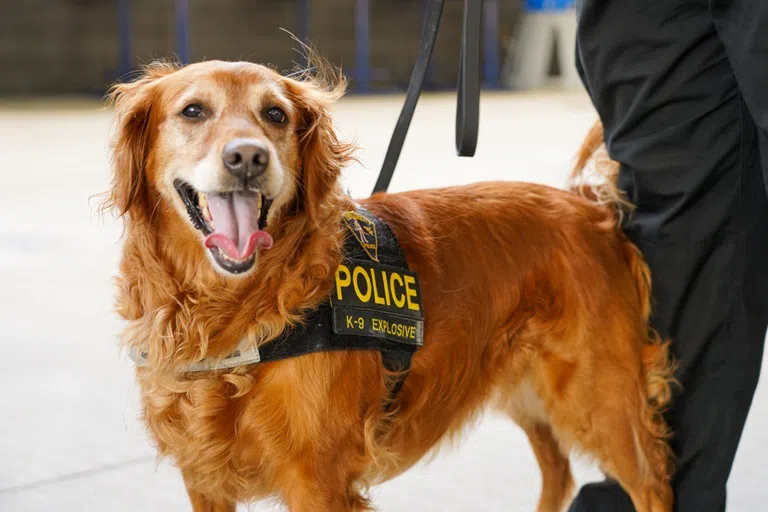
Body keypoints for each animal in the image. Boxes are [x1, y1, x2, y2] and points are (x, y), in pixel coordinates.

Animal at [106, 61, 672, 512]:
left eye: (276, 115)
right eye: (193, 111)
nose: (248, 158)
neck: (237, 313)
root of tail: (593, 210)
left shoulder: (319, 481)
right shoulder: (203, 475)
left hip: (600, 401)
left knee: (652, 486)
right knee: (559, 472)